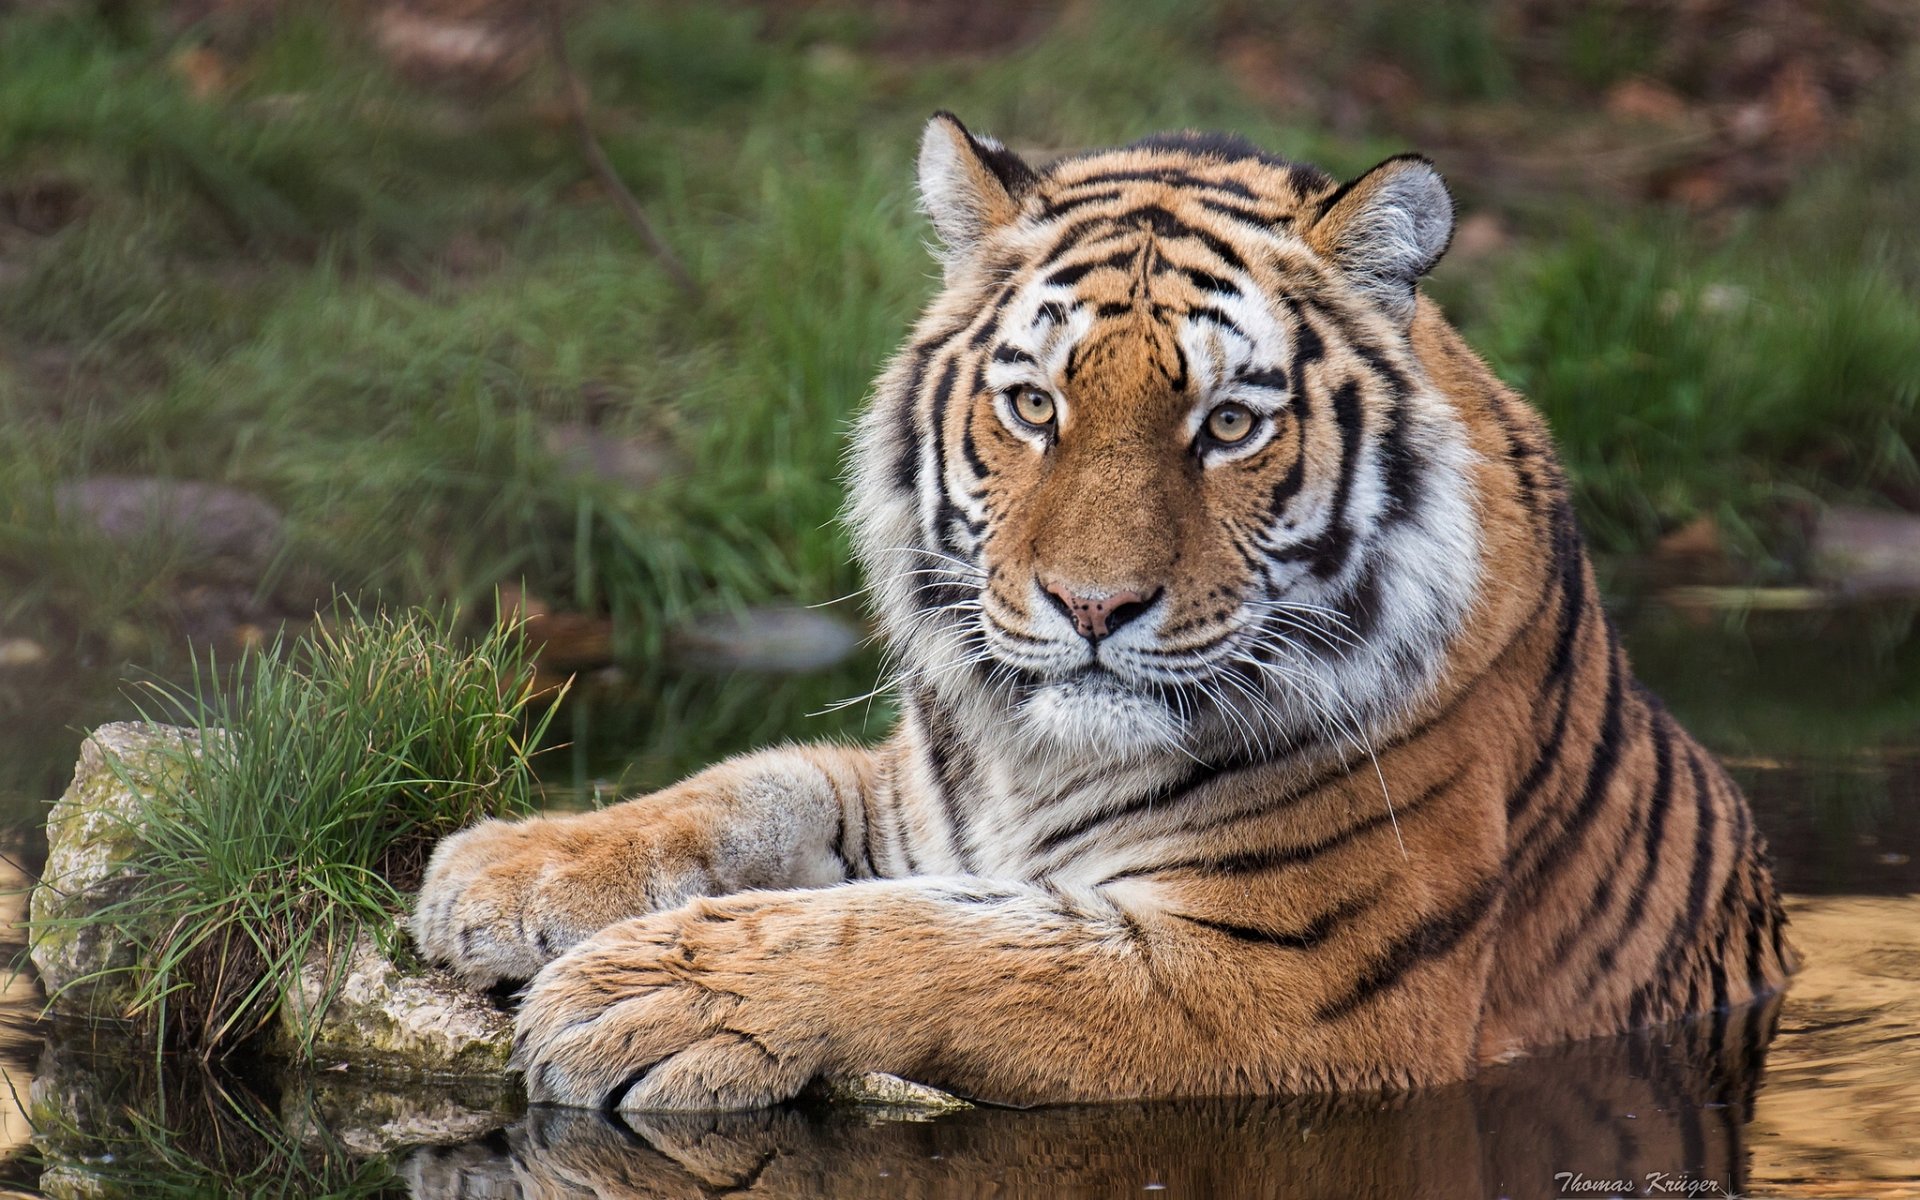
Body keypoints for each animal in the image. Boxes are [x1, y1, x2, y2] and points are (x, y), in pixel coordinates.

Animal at [412, 113, 1794, 1111]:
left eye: (1228, 425)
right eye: (1035, 406)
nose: (1093, 605)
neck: (1039, 765)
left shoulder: (1277, 982)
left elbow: (934, 944)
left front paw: (649, 996)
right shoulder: (922, 800)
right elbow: (757, 782)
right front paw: (509, 870)